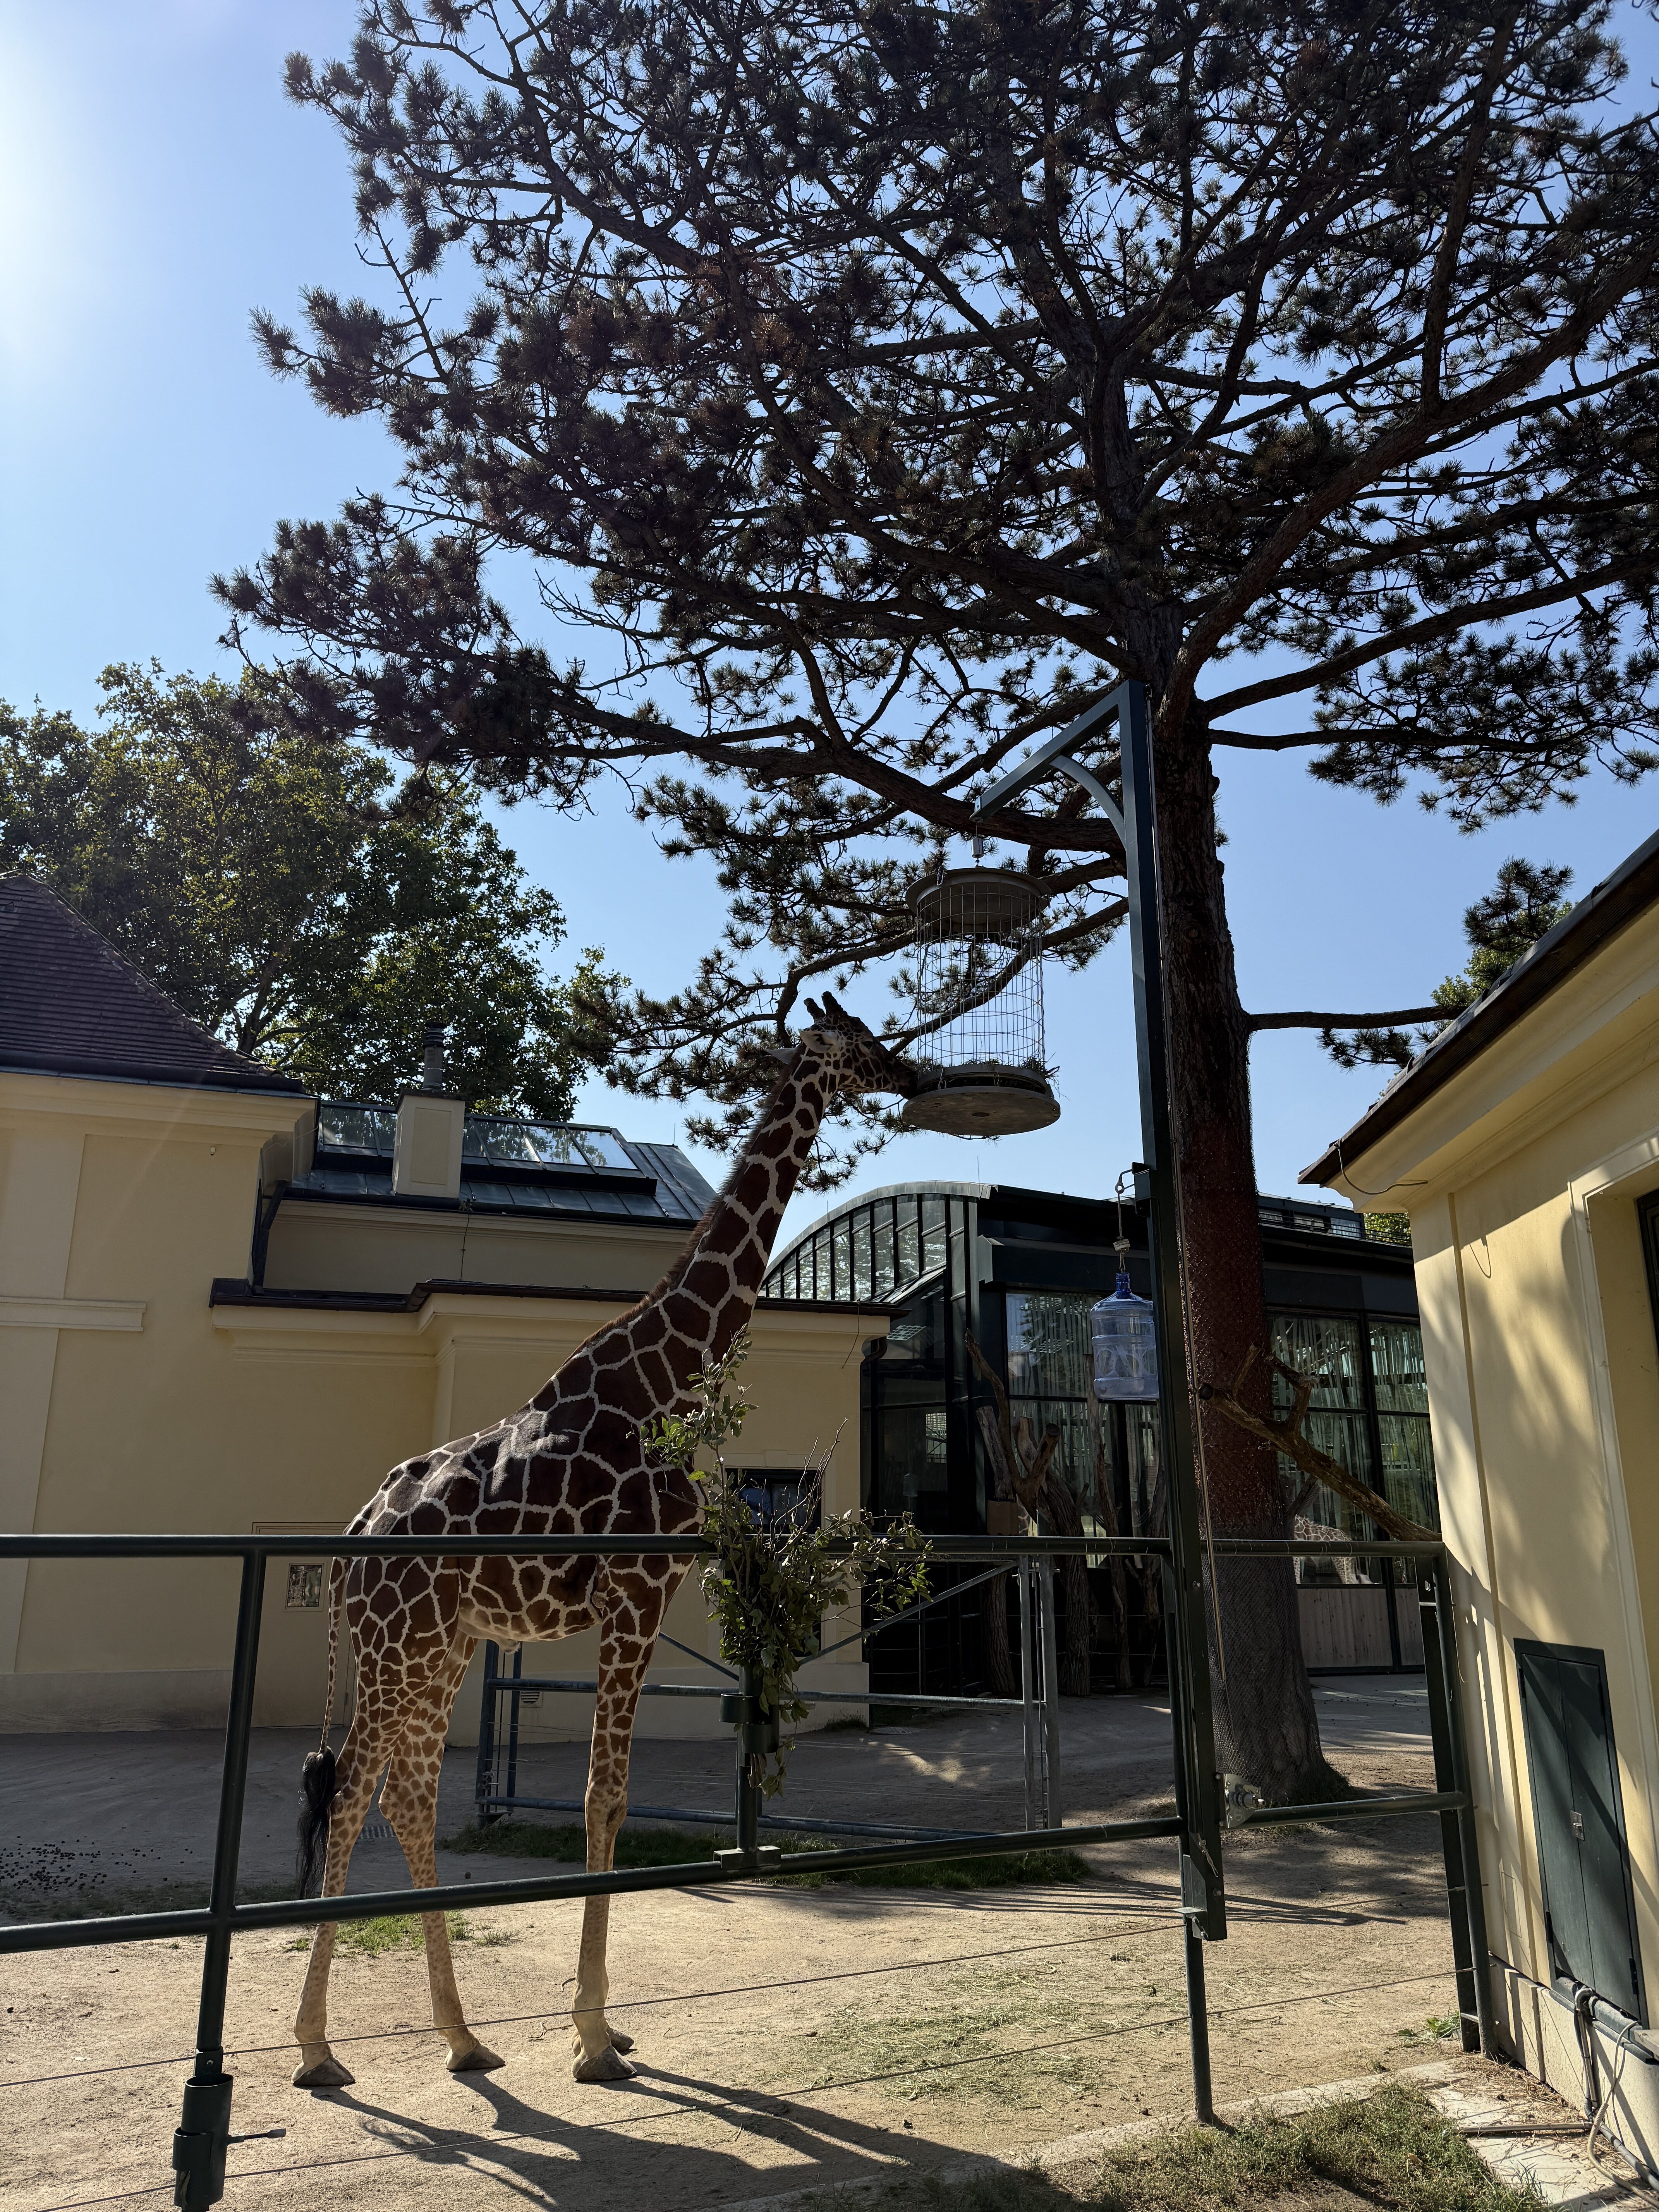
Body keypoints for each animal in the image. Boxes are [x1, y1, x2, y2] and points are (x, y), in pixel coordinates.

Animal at [289, 995, 917, 2089]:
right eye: (857, 1043)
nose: (912, 1076)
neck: (666, 1379)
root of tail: (354, 1538)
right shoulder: (638, 1595)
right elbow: (605, 1797)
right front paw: (591, 2039)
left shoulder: (631, 1605)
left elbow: (601, 1797)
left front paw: (605, 2029)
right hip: (400, 1646)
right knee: (357, 1786)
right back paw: (319, 2047)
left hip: (441, 1648)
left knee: (405, 1794)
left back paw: (463, 2038)